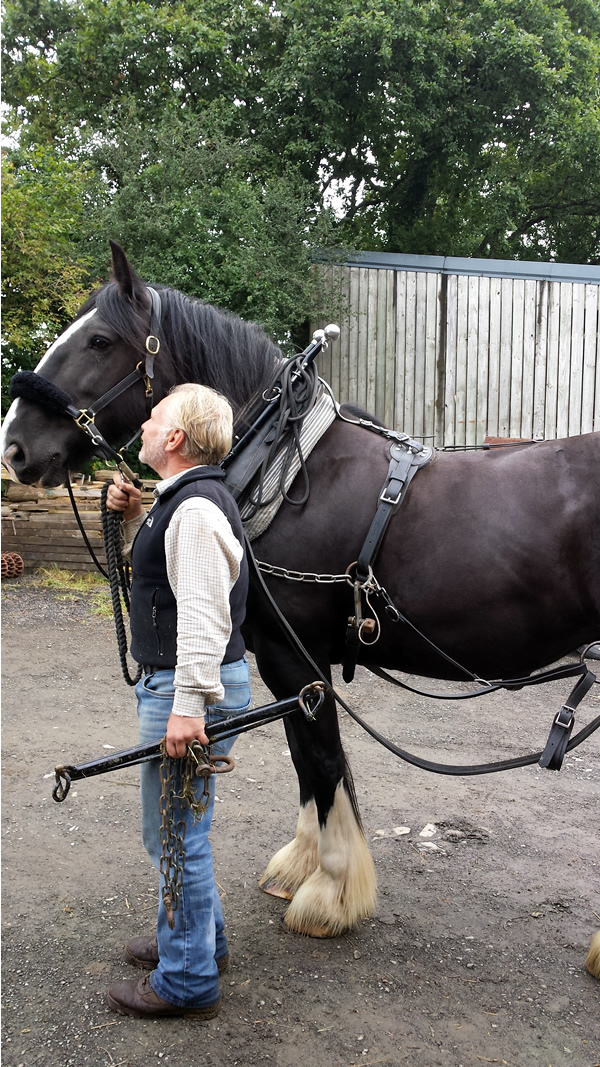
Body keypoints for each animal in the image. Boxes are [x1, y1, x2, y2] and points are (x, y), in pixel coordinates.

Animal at [3, 242, 600, 944]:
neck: (283, 469)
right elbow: (302, 757)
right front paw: (301, 865)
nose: (16, 447)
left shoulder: (298, 656)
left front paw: (332, 892)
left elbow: (322, 758)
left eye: (98, 340)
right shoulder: (279, 659)